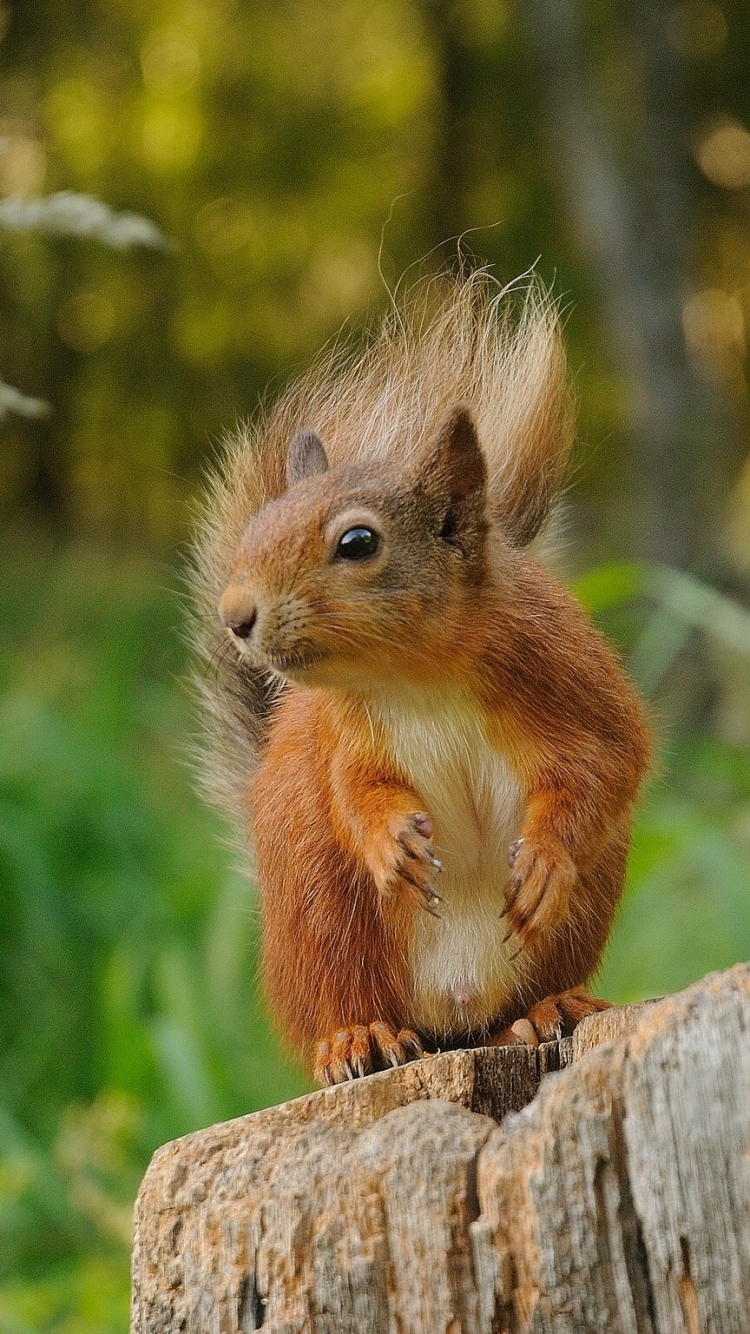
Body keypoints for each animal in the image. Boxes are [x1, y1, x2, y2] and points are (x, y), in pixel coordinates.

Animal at [190, 268, 648, 1083]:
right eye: (256, 529)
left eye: (358, 542)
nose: (235, 614)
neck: (416, 676)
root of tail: (450, 1016)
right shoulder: (345, 734)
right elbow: (355, 793)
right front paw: (389, 843)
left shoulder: (571, 678)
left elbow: (604, 767)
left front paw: (543, 860)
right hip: (320, 914)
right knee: (348, 1002)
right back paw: (357, 1039)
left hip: (572, 921)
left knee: (509, 1010)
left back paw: (546, 1010)